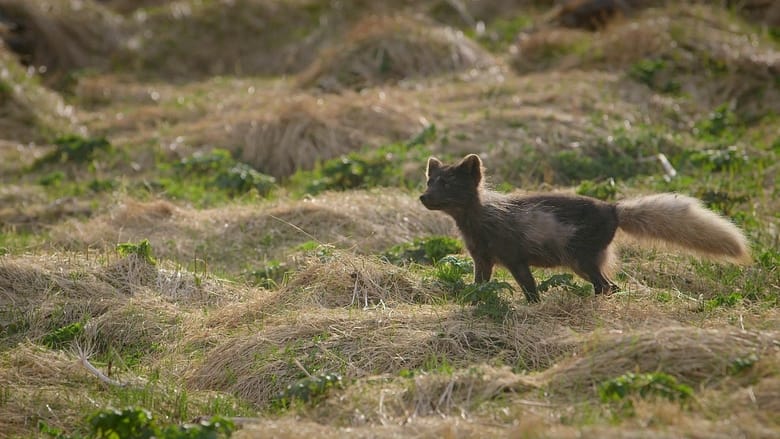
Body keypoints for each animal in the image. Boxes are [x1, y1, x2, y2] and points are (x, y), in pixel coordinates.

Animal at [418, 154, 752, 302]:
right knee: (608, 285)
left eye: (447, 184)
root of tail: (614, 209)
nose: (423, 197)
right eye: (430, 181)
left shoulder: (514, 257)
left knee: (608, 286)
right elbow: (480, 283)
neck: (482, 220)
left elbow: (529, 287)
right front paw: (473, 299)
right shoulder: (482, 258)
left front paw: (533, 305)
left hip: (581, 257)